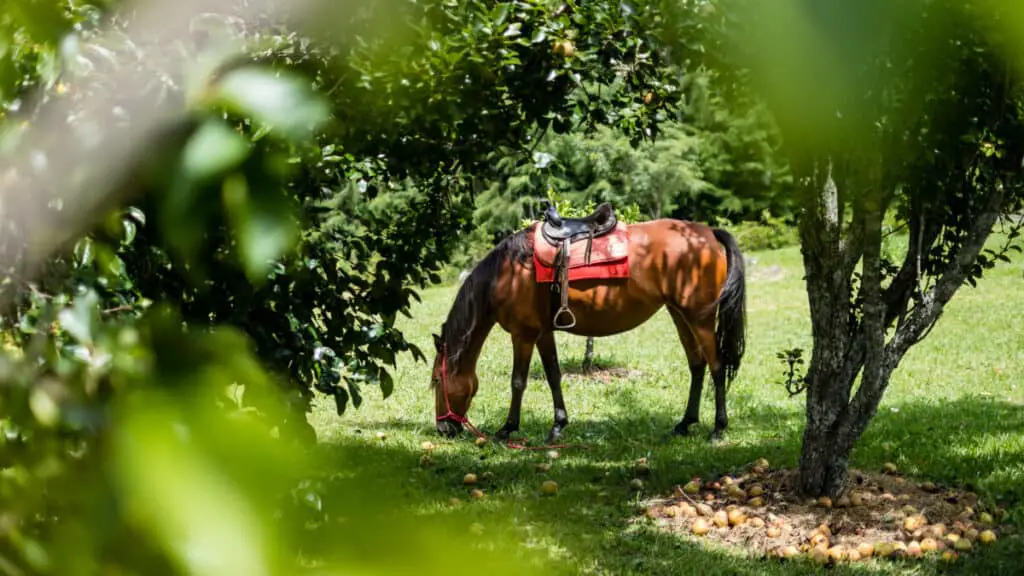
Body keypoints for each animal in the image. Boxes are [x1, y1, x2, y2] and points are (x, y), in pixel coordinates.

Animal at [423, 211, 745, 444]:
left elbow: (518, 381)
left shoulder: (523, 334)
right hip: (680, 315)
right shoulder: (543, 333)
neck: (508, 272)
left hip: (700, 318)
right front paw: (558, 426)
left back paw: (718, 429)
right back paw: (685, 423)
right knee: (697, 365)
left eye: (437, 380)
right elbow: (553, 376)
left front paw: (507, 428)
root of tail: (708, 233)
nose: (443, 429)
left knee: (717, 366)